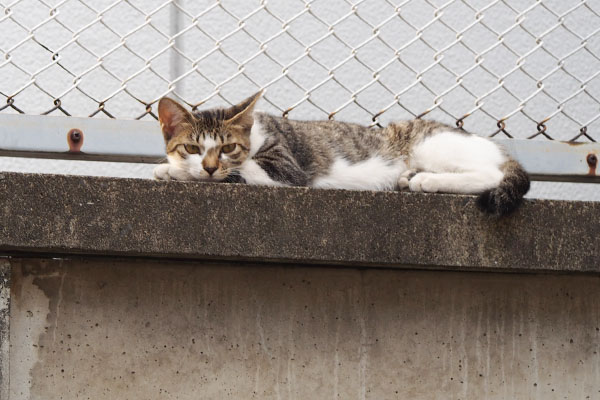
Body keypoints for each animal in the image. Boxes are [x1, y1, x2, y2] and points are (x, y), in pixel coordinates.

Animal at [154, 91, 528, 216]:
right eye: (192, 147)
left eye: (228, 147)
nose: (209, 166)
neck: (255, 134)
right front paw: (171, 169)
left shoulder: (287, 168)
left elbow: (237, 173)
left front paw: (182, 173)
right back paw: (410, 178)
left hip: (431, 145)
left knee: (490, 175)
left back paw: (427, 181)